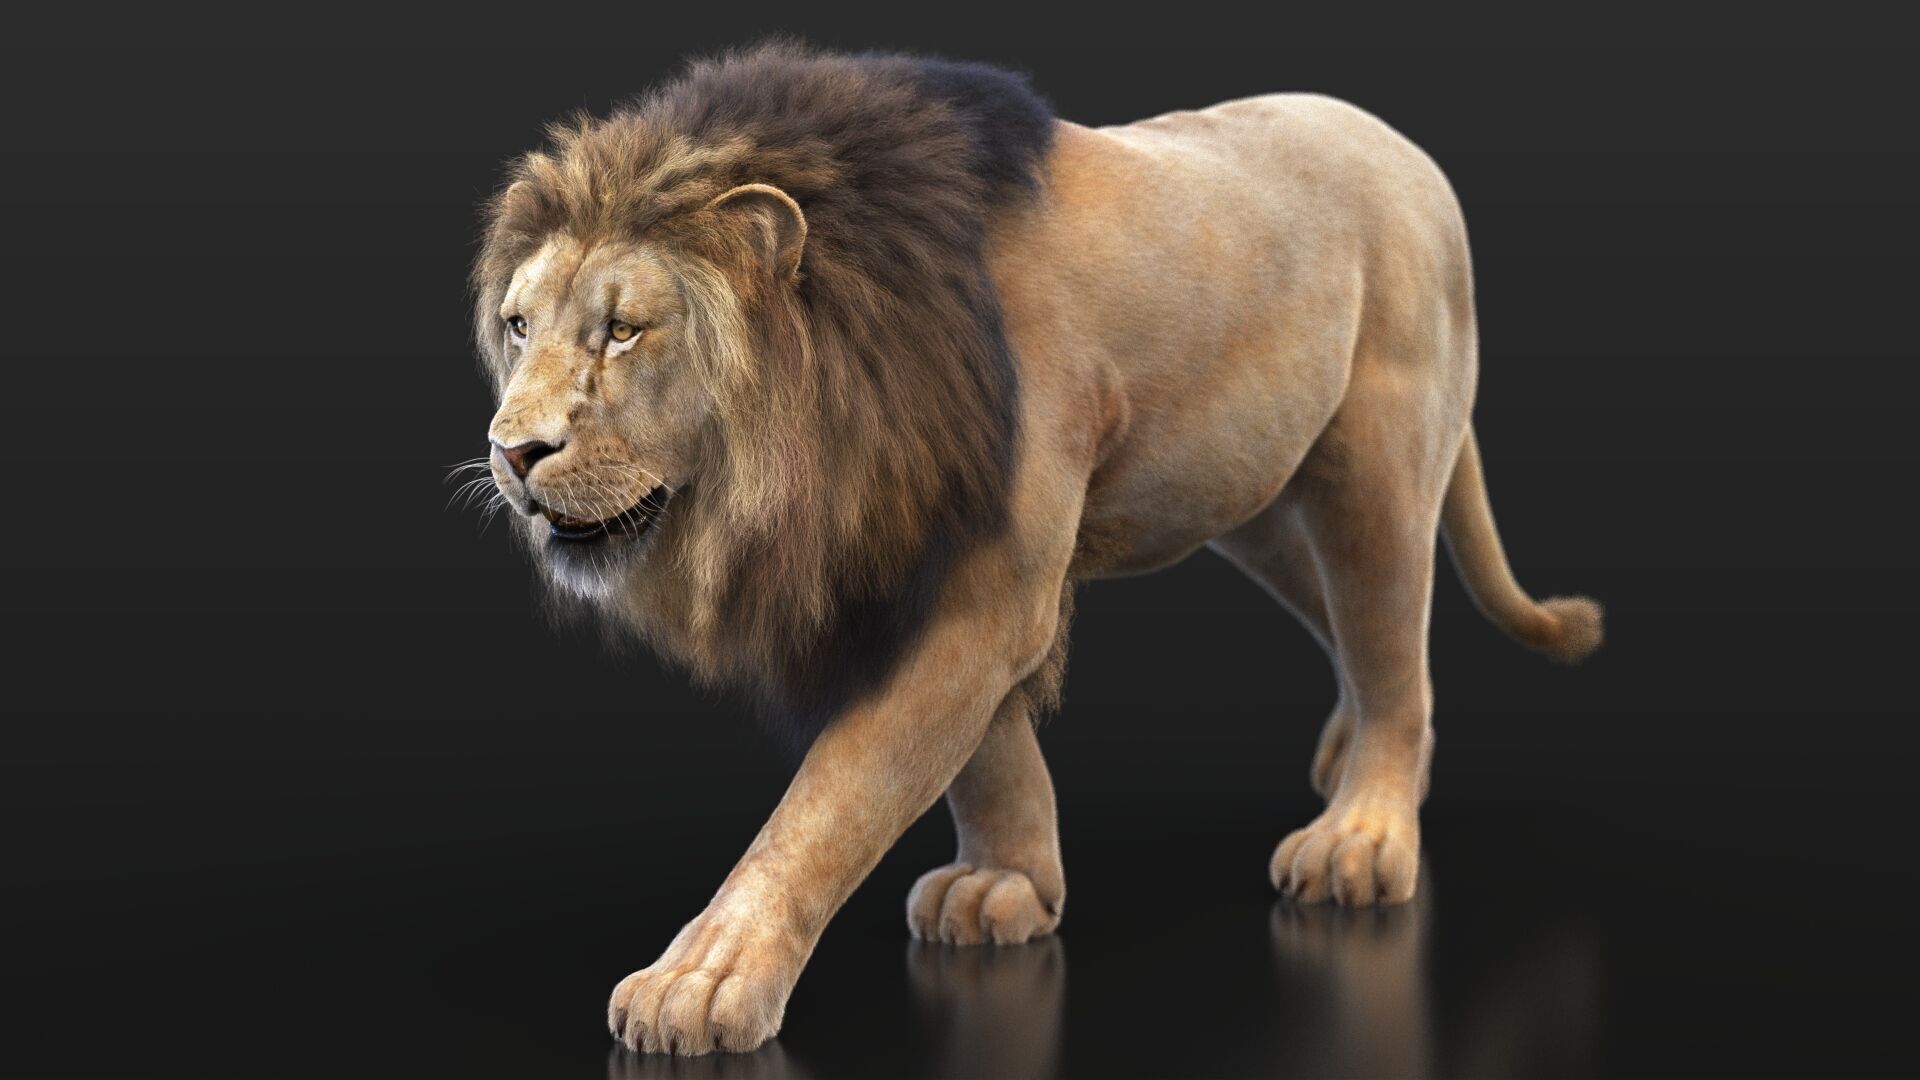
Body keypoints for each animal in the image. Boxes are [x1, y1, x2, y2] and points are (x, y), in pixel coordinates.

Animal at [470, 43, 1602, 1055]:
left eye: (625, 330)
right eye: (520, 326)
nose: (512, 452)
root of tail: (1400, 143)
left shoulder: (987, 584)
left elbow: (836, 794)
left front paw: (704, 978)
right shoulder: (905, 561)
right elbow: (979, 752)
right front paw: (1006, 883)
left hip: (1377, 454)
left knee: (1390, 637)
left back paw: (1362, 834)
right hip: (1256, 496)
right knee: (1361, 628)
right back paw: (1353, 758)